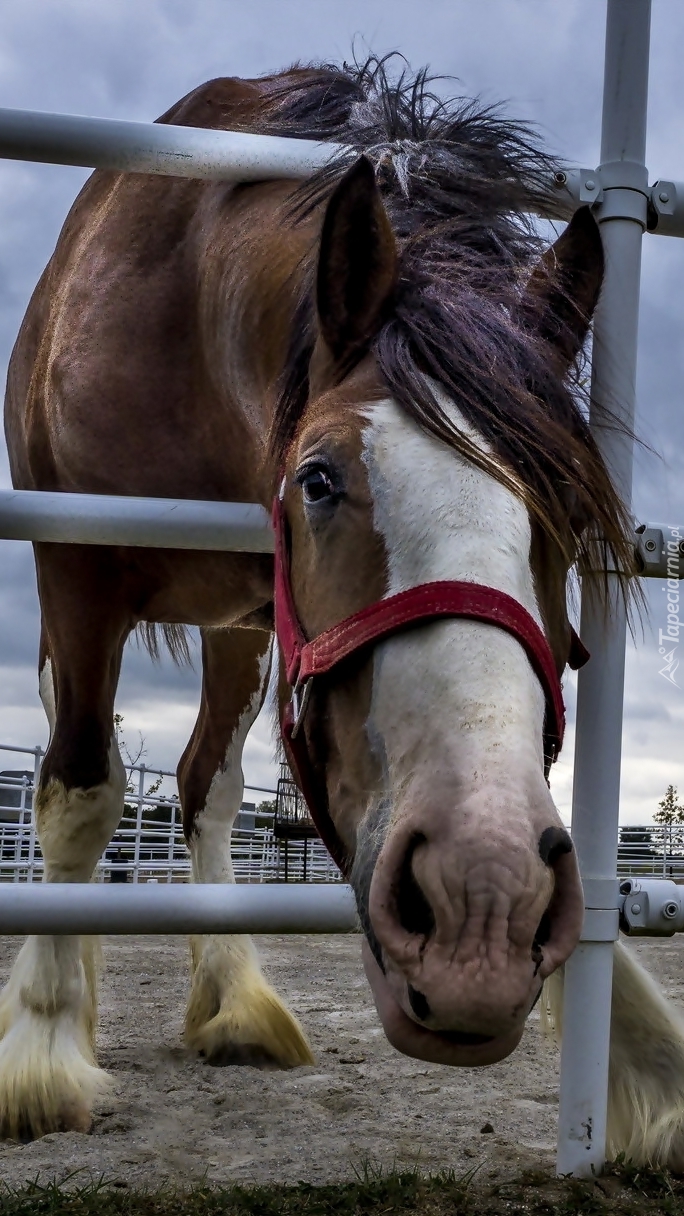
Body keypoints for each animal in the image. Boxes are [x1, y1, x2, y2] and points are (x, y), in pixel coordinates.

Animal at [1, 59, 681, 1167]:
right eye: (318, 480)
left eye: (572, 514)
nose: (481, 905)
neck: (181, 308)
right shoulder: (77, 567)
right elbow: (80, 793)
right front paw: (43, 1047)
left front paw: (647, 1053)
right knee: (93, 761)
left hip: (239, 631)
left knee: (207, 787)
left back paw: (235, 1000)